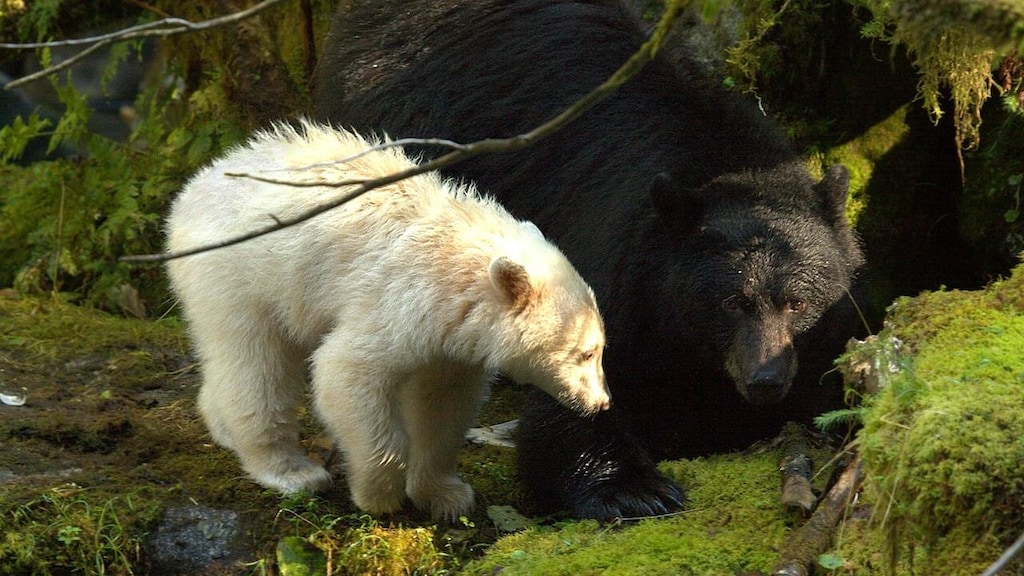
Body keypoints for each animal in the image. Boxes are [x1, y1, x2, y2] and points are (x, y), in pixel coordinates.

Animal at [164, 121, 611, 521]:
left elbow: (442, 406)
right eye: (586, 353)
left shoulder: (452, 342)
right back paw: (292, 471)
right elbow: (347, 373)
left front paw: (447, 495)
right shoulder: (399, 299)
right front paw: (378, 494)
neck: (458, 268)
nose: (601, 403)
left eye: (601, 348)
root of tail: (191, 192)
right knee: (258, 365)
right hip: (241, 276)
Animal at [312, 0, 865, 520]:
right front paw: (635, 490)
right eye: (731, 301)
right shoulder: (615, 259)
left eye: (797, 303)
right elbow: (580, 385)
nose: (764, 380)